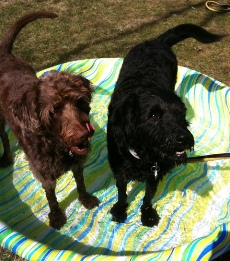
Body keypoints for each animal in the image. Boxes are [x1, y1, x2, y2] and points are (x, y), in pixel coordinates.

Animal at [0, 11, 99, 229]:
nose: (84, 135)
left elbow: (80, 182)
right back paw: (7, 158)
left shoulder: (77, 162)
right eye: (53, 110)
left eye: (80, 102)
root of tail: (4, 55)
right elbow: (50, 195)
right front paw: (56, 215)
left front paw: (85, 198)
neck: (55, 144)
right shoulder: (43, 172)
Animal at [107, 23, 224, 225]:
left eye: (181, 113)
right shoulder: (119, 170)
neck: (143, 153)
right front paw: (121, 209)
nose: (185, 139)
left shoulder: (155, 172)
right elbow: (122, 192)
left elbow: (148, 196)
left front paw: (147, 213)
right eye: (154, 115)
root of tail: (156, 41)